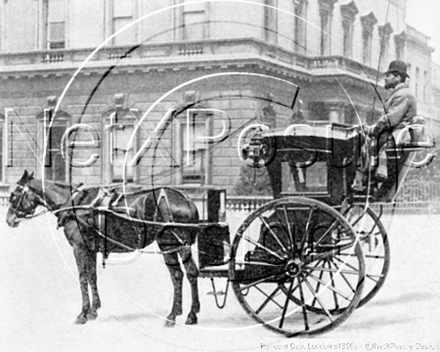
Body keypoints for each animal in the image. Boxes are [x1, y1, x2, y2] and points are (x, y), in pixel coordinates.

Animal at [5, 169, 201, 326]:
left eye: (14, 195)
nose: (9, 220)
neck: (75, 203)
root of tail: (186, 199)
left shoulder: (79, 248)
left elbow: (82, 277)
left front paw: (83, 313)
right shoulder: (91, 249)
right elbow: (92, 277)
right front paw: (93, 310)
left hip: (172, 243)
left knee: (183, 274)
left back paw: (180, 315)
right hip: (172, 245)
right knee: (183, 275)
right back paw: (185, 314)